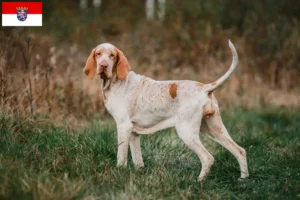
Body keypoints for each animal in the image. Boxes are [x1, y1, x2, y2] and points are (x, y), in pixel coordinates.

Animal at [83, 40, 250, 181]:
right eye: (98, 54)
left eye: (112, 55)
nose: (103, 66)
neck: (115, 82)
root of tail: (204, 87)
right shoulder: (134, 133)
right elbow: (138, 160)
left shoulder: (123, 127)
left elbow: (121, 157)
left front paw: (119, 173)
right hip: (214, 130)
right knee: (240, 151)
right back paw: (243, 179)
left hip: (186, 131)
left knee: (207, 158)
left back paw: (199, 181)